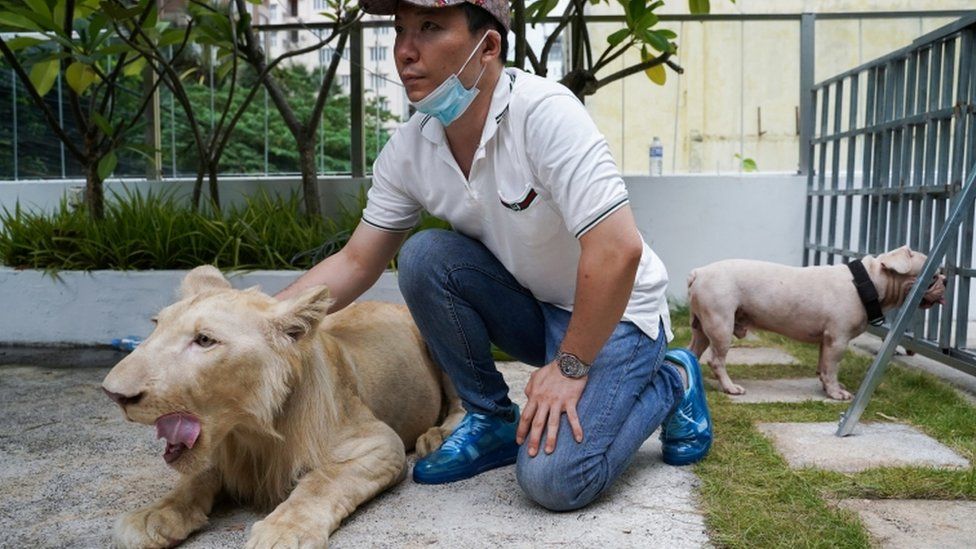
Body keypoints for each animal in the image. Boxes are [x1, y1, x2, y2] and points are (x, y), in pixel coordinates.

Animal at [103, 264, 462, 544]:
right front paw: (155, 514)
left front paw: (285, 530)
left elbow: (321, 483)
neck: (249, 431)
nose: (112, 393)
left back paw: (438, 437)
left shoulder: (379, 442)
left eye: (204, 340)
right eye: (157, 326)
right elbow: (194, 479)